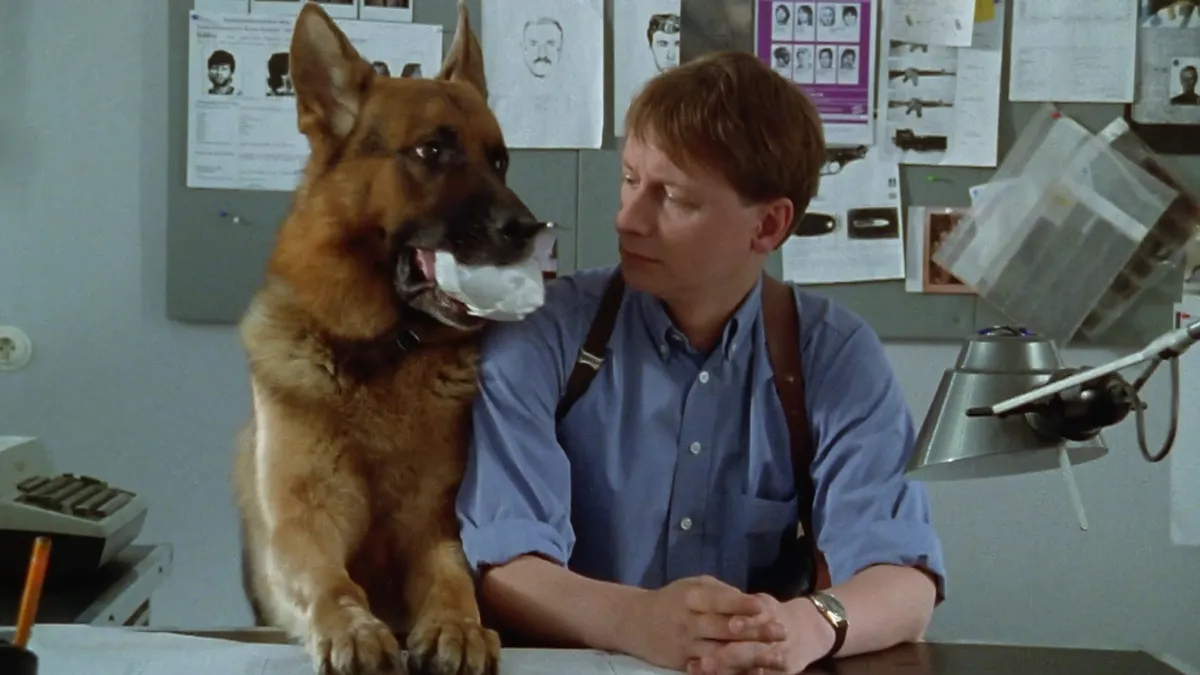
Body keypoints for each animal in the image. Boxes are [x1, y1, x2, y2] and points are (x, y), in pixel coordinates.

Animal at [231, 3, 545, 674]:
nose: (530, 230)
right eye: (431, 150)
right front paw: (353, 629)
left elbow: (451, 579)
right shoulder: (300, 528)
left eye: (500, 160)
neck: (380, 356)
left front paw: (458, 627)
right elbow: (331, 584)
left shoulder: (436, 528)